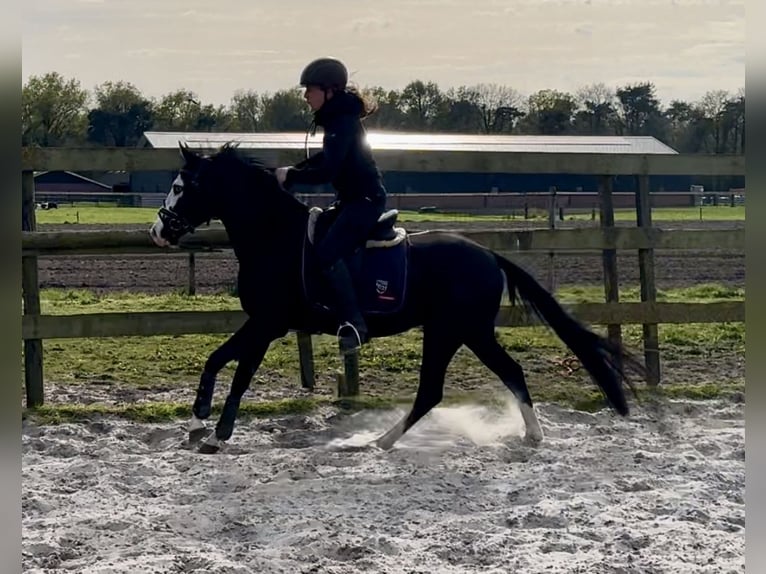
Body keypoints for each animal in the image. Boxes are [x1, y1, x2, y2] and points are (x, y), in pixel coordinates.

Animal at [149, 142, 644, 454]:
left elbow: (236, 373)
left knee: (446, 386)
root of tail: (488, 254)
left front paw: (215, 435)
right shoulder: (265, 325)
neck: (275, 238)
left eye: (180, 186)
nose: (158, 230)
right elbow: (219, 362)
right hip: (464, 332)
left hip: (454, 330)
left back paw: (385, 441)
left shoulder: (268, 323)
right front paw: (197, 426)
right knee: (492, 376)